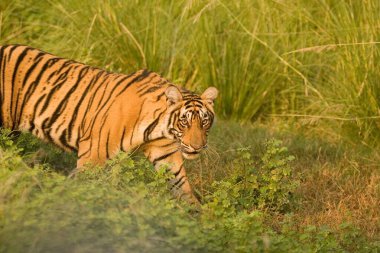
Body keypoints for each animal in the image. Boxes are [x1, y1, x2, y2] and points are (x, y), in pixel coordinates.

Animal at [0, 45, 218, 204]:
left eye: (204, 121)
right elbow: (83, 192)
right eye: (184, 121)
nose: (198, 146)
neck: (158, 128)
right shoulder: (92, 157)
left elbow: (183, 188)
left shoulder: (166, 155)